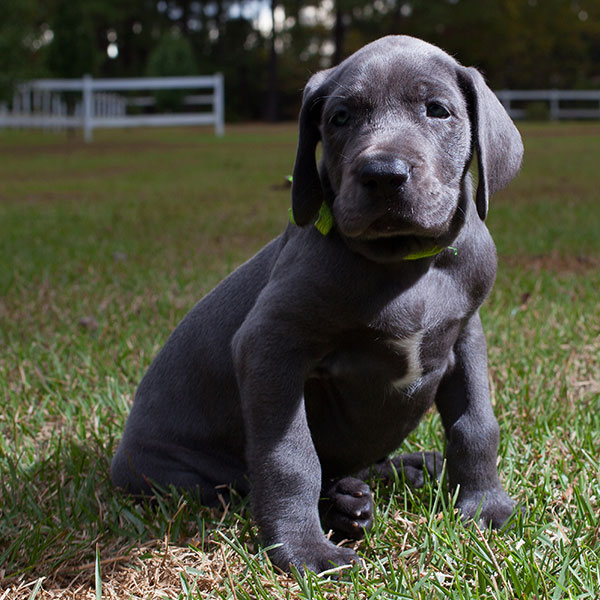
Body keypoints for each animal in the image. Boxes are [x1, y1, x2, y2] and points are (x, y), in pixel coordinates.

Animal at [110, 36, 524, 572]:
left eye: (437, 110)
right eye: (340, 117)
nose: (383, 175)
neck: (405, 265)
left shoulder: (466, 334)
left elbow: (477, 425)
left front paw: (485, 505)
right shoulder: (270, 345)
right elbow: (290, 456)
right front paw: (303, 550)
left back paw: (405, 471)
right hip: (182, 474)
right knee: (252, 484)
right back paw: (344, 505)